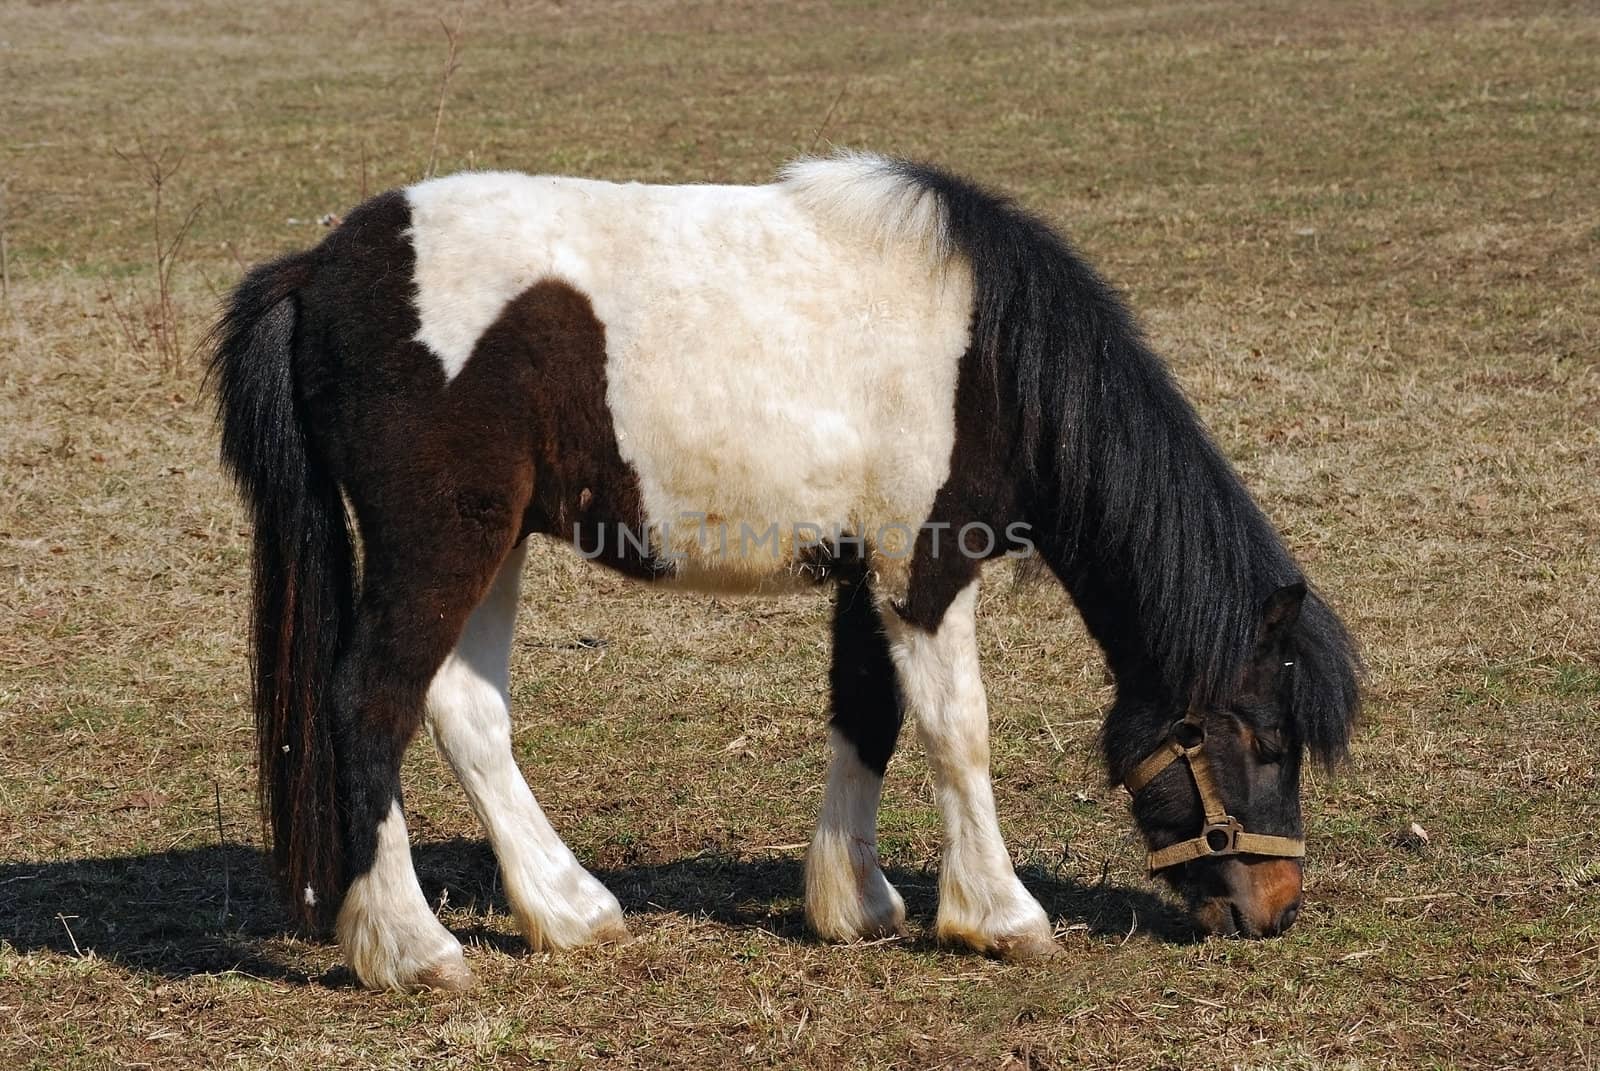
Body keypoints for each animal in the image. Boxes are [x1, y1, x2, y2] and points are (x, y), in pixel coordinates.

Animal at [209, 154, 1363, 992]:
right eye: (1262, 738)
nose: (1273, 910)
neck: (990, 352)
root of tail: (318, 270)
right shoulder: (926, 570)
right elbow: (957, 731)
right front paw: (1000, 917)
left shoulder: (865, 573)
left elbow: (868, 715)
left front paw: (857, 904)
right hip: (440, 542)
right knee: (369, 705)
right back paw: (413, 949)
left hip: (492, 545)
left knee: (465, 708)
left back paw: (571, 912)